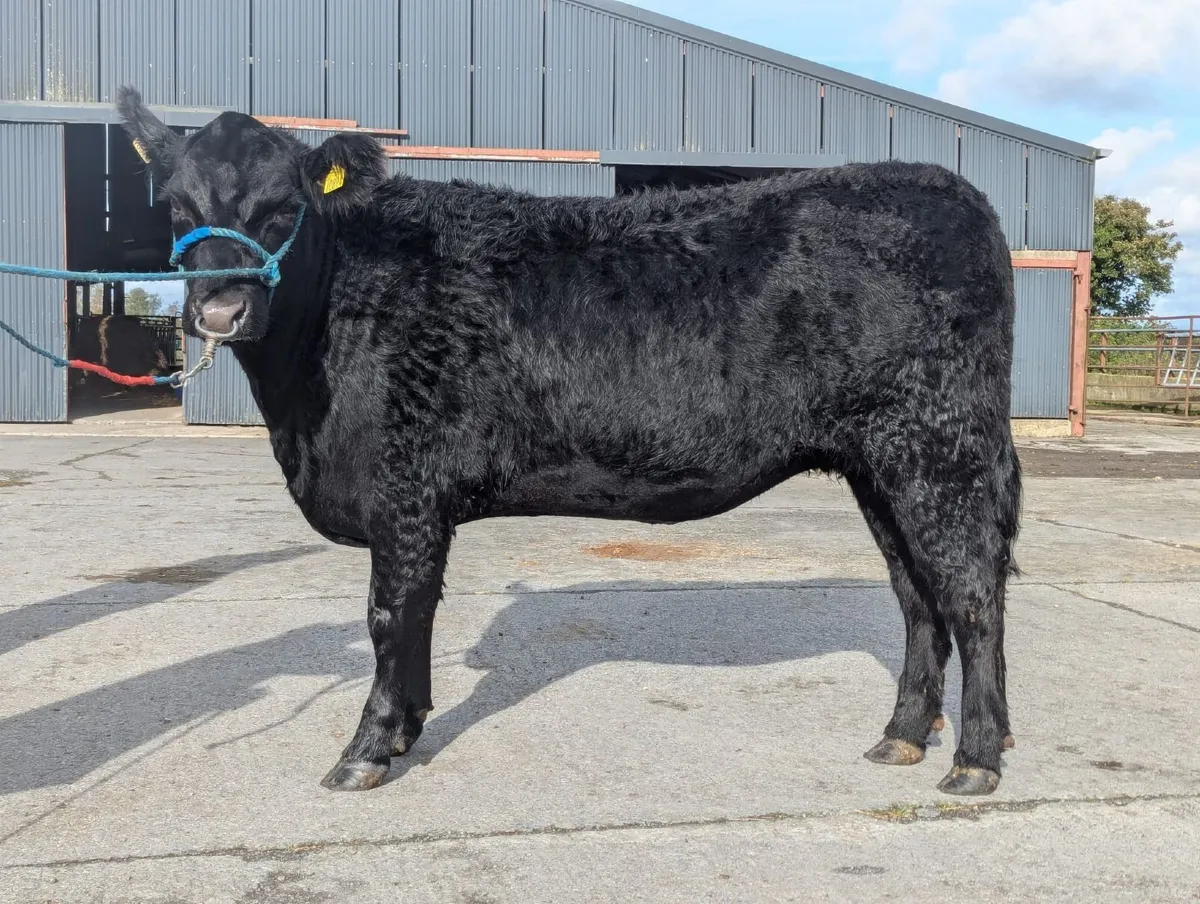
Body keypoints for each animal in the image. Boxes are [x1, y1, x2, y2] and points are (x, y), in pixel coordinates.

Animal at [117, 86, 1021, 796]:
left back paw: (975, 758)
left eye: (282, 208)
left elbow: (387, 613)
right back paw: (902, 736)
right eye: (177, 210)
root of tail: (943, 184)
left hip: (936, 446)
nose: (220, 310)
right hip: (879, 460)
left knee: (971, 591)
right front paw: (406, 728)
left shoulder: (403, 484)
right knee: (916, 597)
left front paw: (366, 748)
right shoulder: (418, 500)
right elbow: (419, 612)